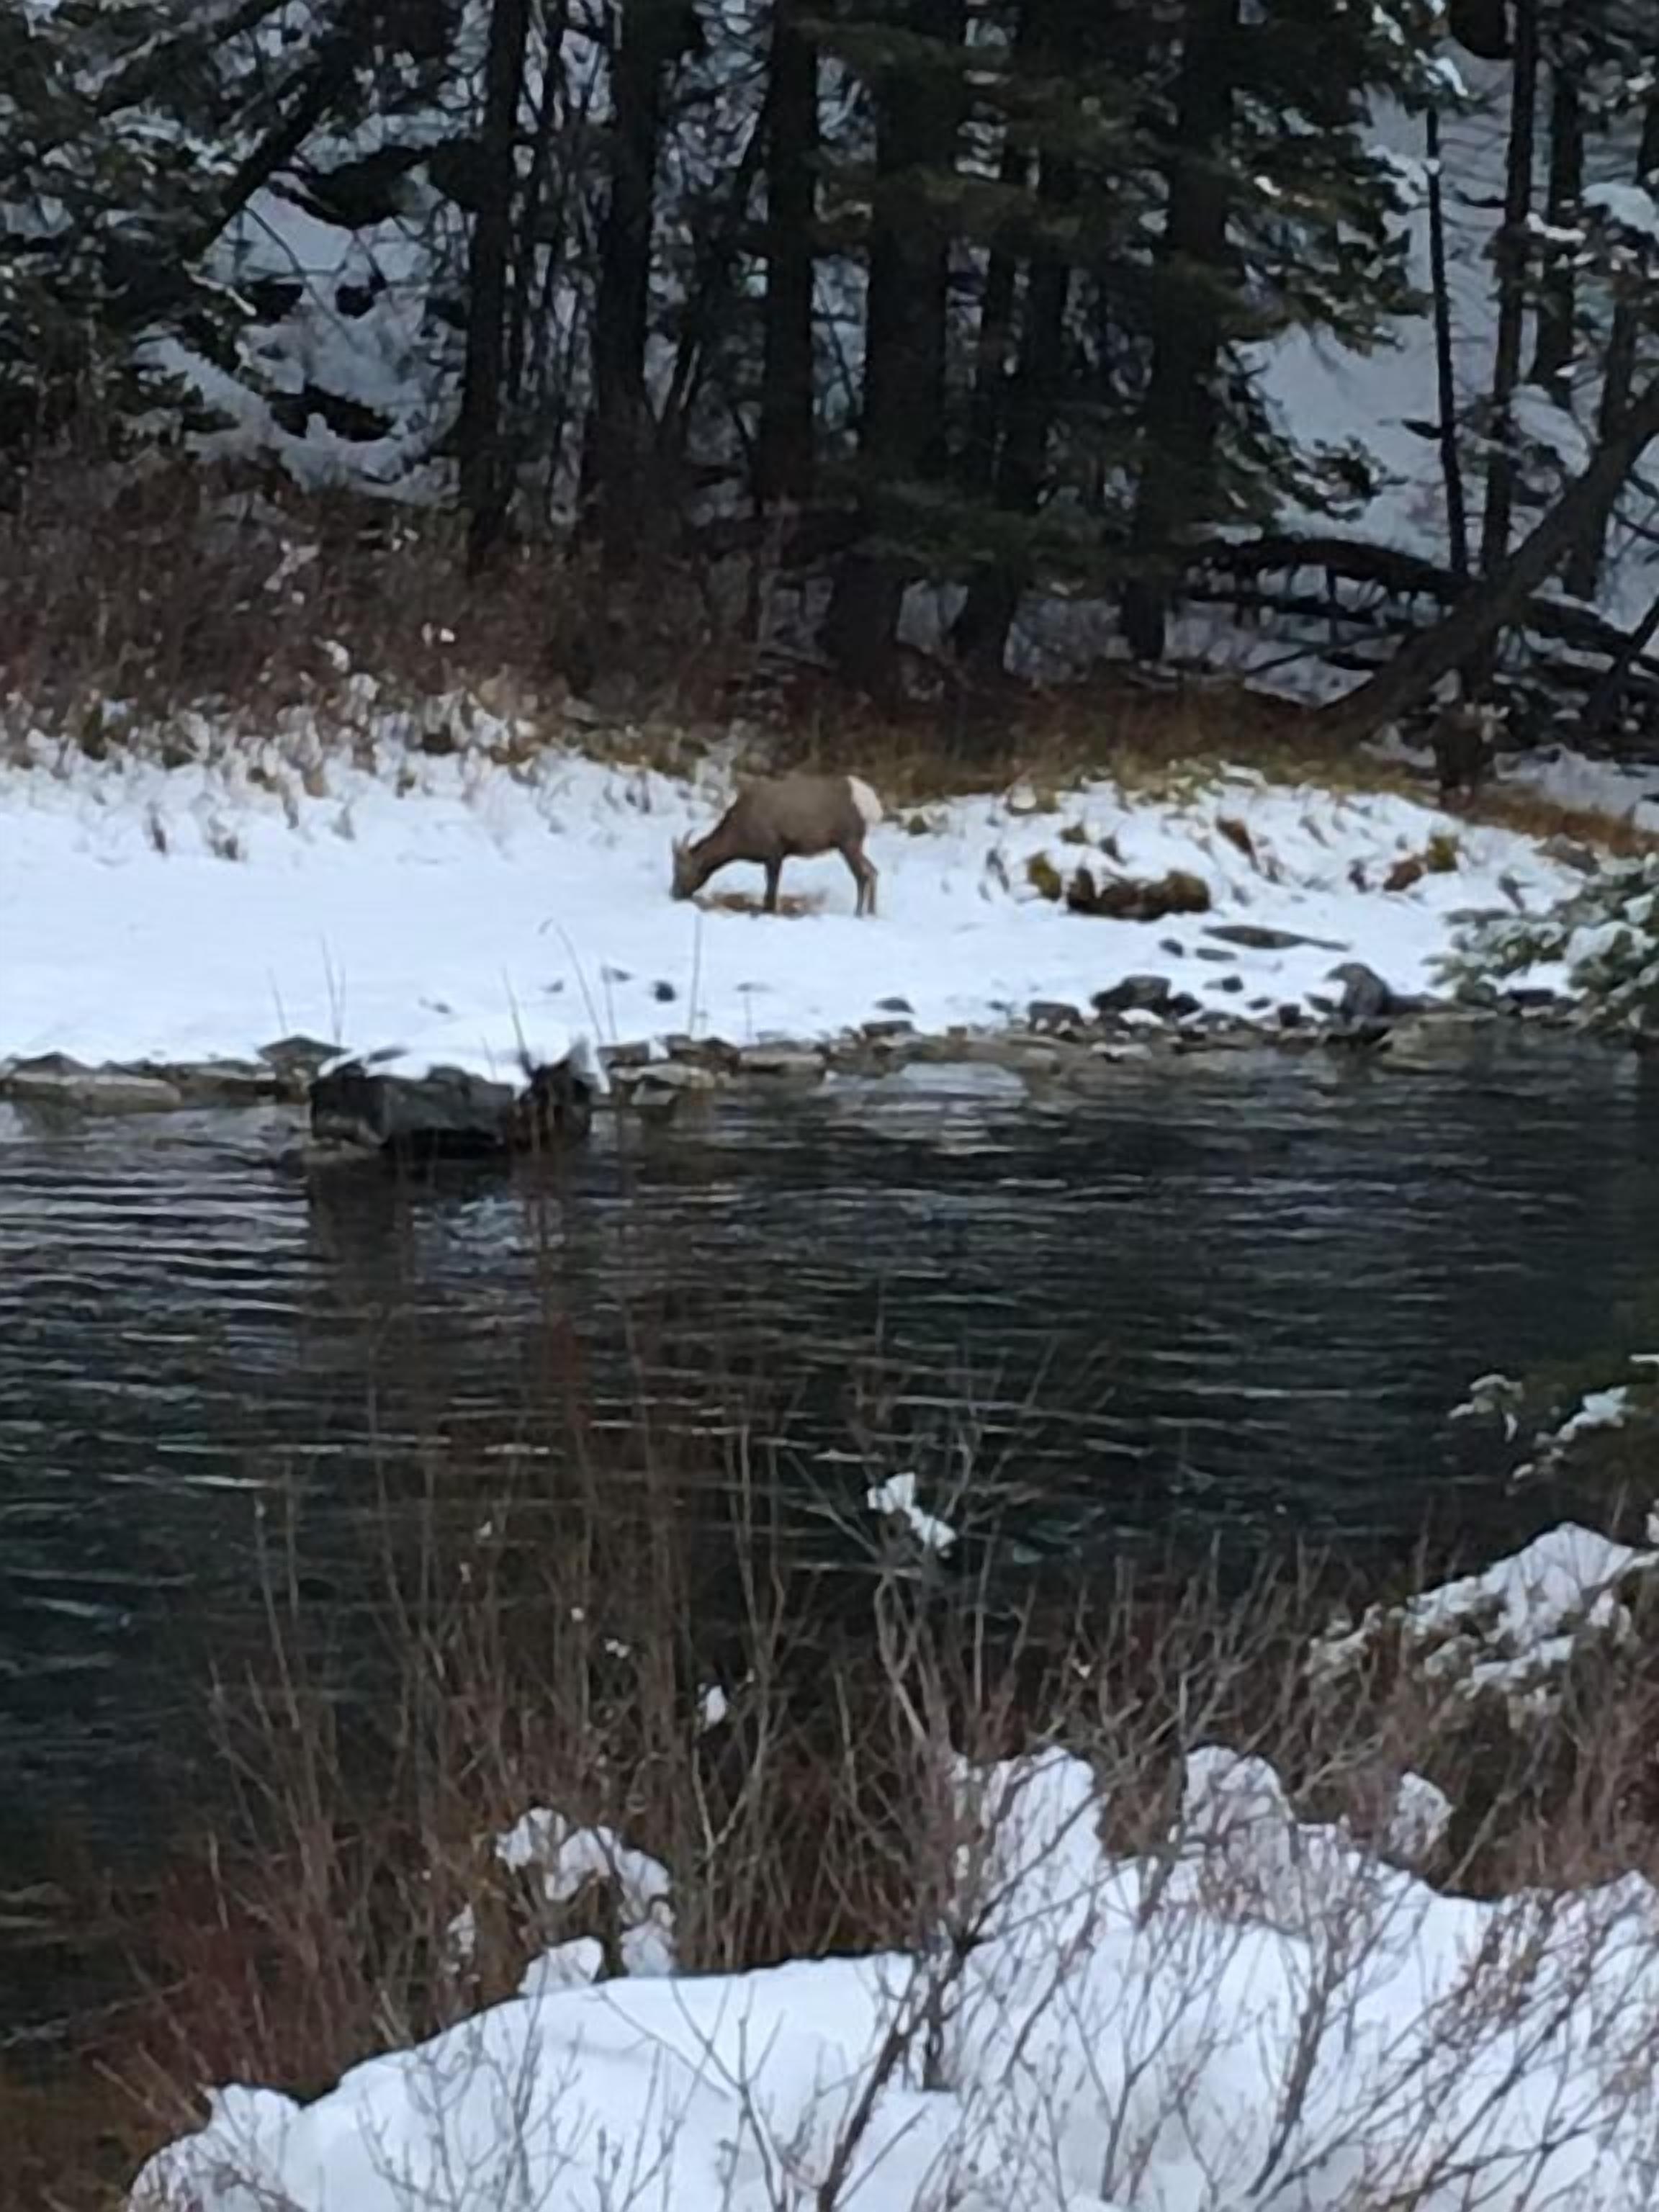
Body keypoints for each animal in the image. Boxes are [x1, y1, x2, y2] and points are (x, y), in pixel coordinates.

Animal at [670, 772, 885, 917]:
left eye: (681, 870)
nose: (674, 893)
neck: (739, 836)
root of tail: (873, 806)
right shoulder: (775, 855)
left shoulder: (774, 851)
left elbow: (771, 892)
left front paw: (768, 912)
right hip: (853, 844)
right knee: (873, 871)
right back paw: (872, 913)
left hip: (848, 842)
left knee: (862, 876)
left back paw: (858, 913)